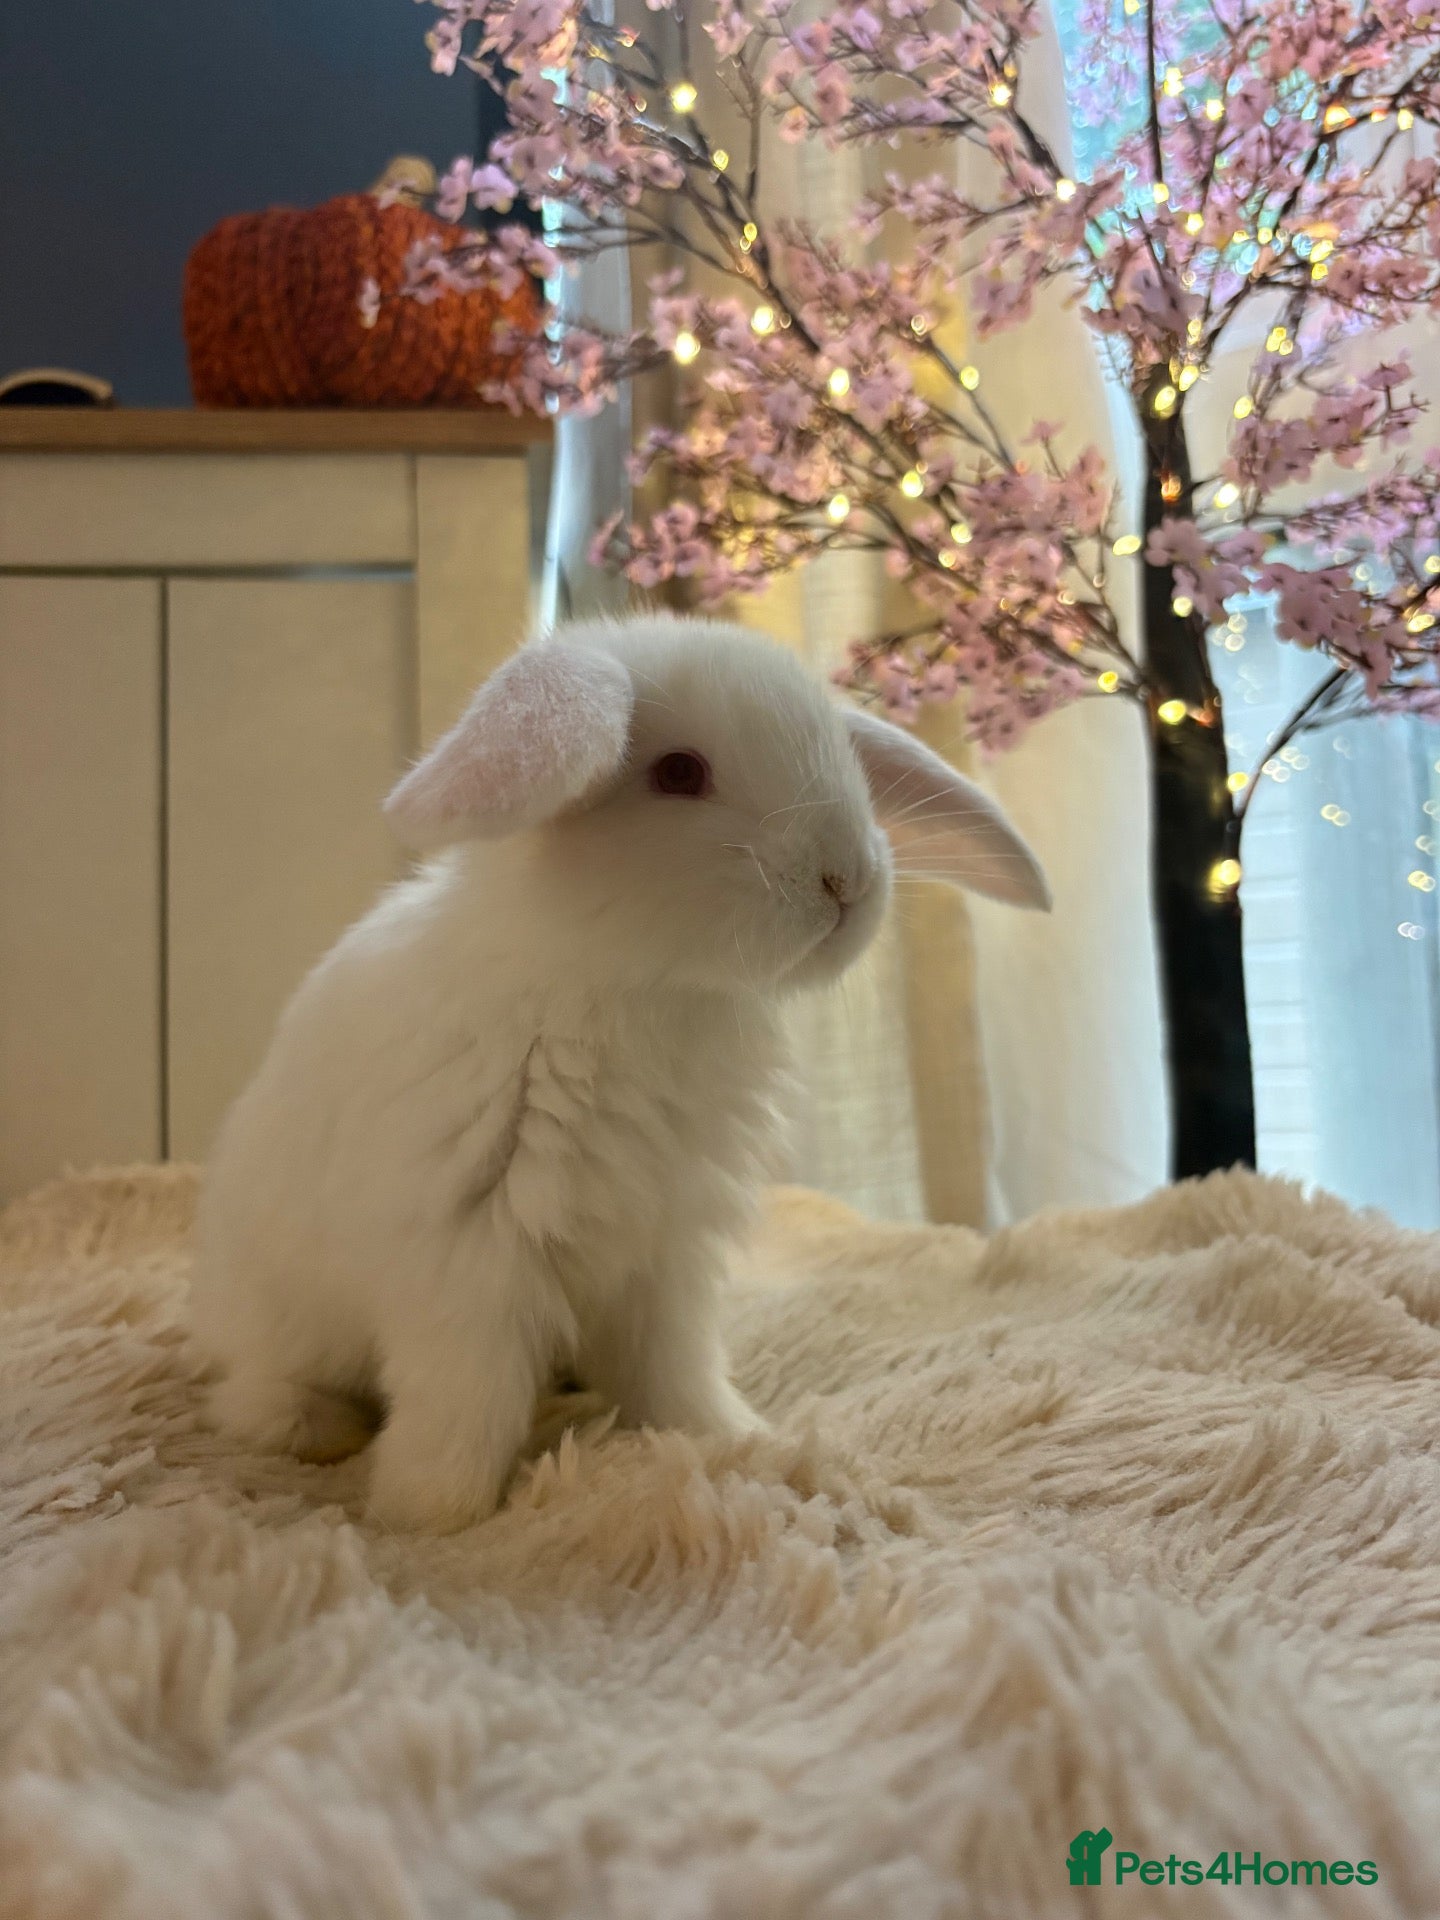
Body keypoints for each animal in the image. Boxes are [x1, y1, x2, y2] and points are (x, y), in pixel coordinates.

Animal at [189, 614, 1049, 1532]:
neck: (636, 990)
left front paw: (736, 1440)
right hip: (277, 1316)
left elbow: (672, 1373)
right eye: (679, 773)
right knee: (249, 1393)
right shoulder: (468, 1264)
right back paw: (313, 1428)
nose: (847, 877)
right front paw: (426, 1516)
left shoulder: (664, 1260)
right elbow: (467, 1403)